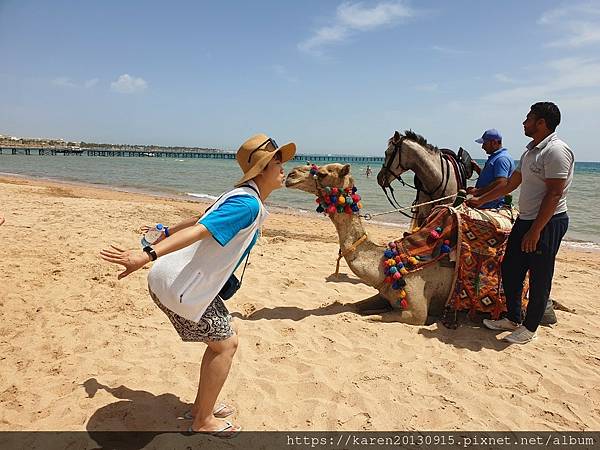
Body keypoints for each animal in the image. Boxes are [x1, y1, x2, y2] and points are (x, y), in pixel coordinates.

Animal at [286, 163, 454, 326]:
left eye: (322, 173)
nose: (291, 174)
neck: (386, 263)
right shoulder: (383, 295)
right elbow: (352, 307)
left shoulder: (416, 313)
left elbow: (370, 317)